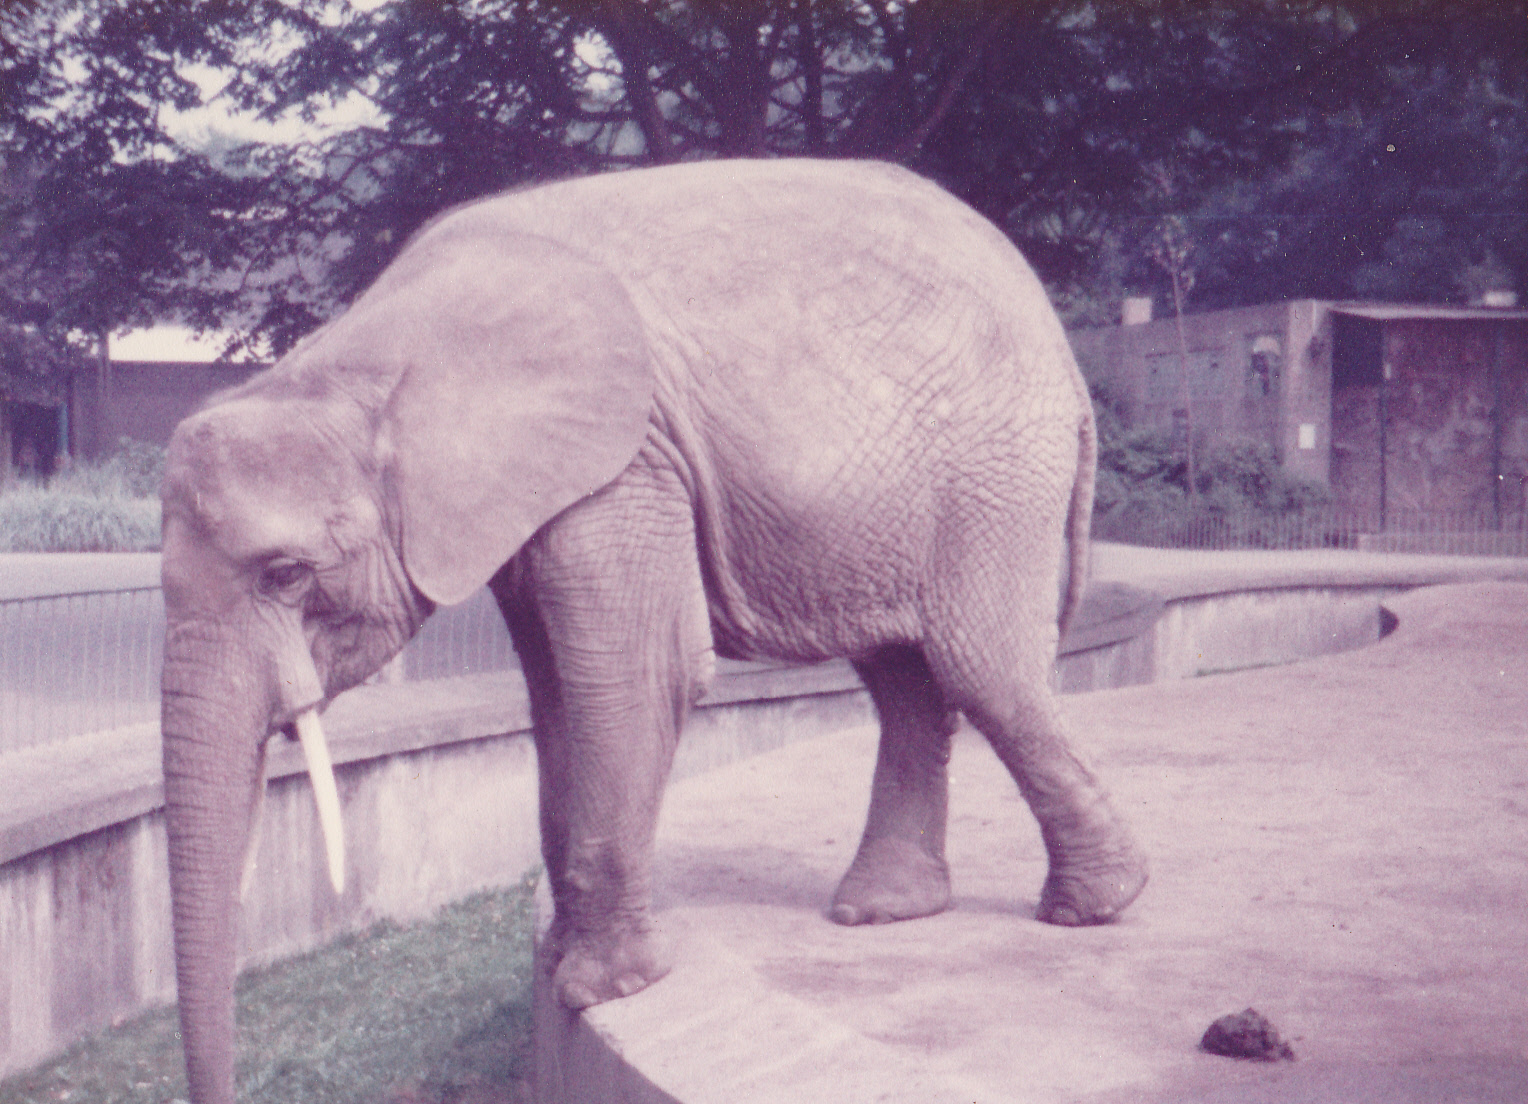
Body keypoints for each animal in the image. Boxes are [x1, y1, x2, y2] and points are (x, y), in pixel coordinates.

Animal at [158, 157, 1148, 1104]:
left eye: (286, 576)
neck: (357, 360)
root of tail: (1061, 345)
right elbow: (557, 689)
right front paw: (564, 959)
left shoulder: (624, 462)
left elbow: (636, 674)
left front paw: (602, 988)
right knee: (905, 677)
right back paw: (883, 911)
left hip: (993, 472)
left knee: (984, 670)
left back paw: (1094, 907)